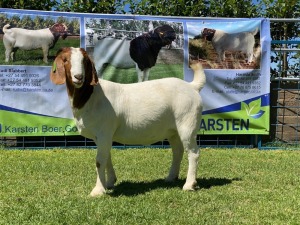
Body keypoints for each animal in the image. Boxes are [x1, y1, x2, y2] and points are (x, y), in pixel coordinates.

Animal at [51, 47, 206, 197]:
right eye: (65, 60)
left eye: (85, 61)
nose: (78, 77)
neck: (90, 96)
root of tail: (192, 86)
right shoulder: (100, 137)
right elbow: (107, 157)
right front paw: (110, 183)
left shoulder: (104, 131)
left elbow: (100, 161)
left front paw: (97, 191)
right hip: (173, 130)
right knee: (178, 151)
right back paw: (170, 178)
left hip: (187, 123)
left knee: (193, 152)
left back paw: (189, 185)